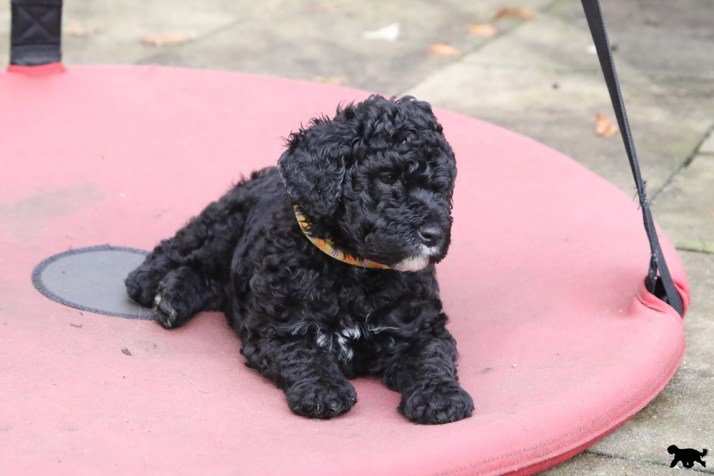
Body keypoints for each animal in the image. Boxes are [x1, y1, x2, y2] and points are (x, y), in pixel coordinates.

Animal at [125, 95, 474, 424]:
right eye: (387, 177)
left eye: (443, 186)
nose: (433, 234)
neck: (353, 271)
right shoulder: (278, 329)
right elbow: (306, 354)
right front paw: (323, 390)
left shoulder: (420, 328)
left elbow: (430, 356)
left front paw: (440, 396)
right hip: (225, 221)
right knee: (186, 249)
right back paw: (151, 284)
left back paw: (172, 298)